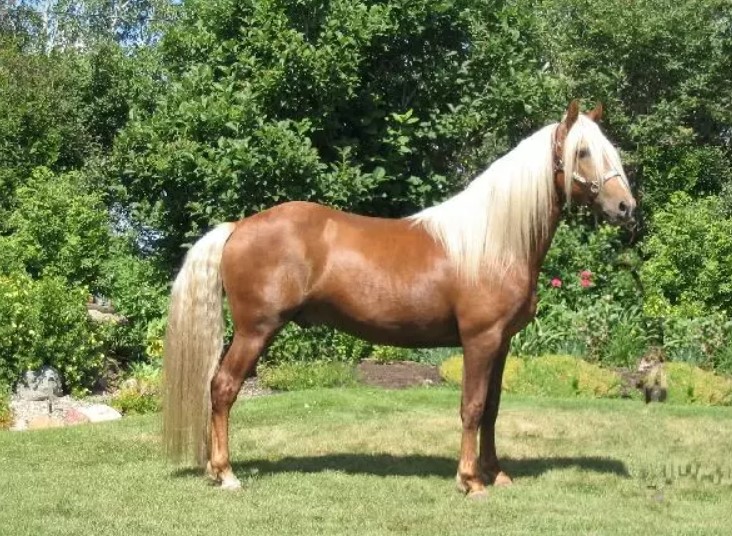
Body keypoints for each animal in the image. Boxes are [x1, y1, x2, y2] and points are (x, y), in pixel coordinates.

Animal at [162, 100, 636, 497]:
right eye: (582, 153)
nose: (626, 208)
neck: (494, 242)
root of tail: (238, 227)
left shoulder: (501, 344)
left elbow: (493, 409)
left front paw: (495, 473)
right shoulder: (480, 340)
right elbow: (472, 406)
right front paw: (469, 481)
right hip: (255, 331)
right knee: (223, 388)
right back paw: (226, 474)